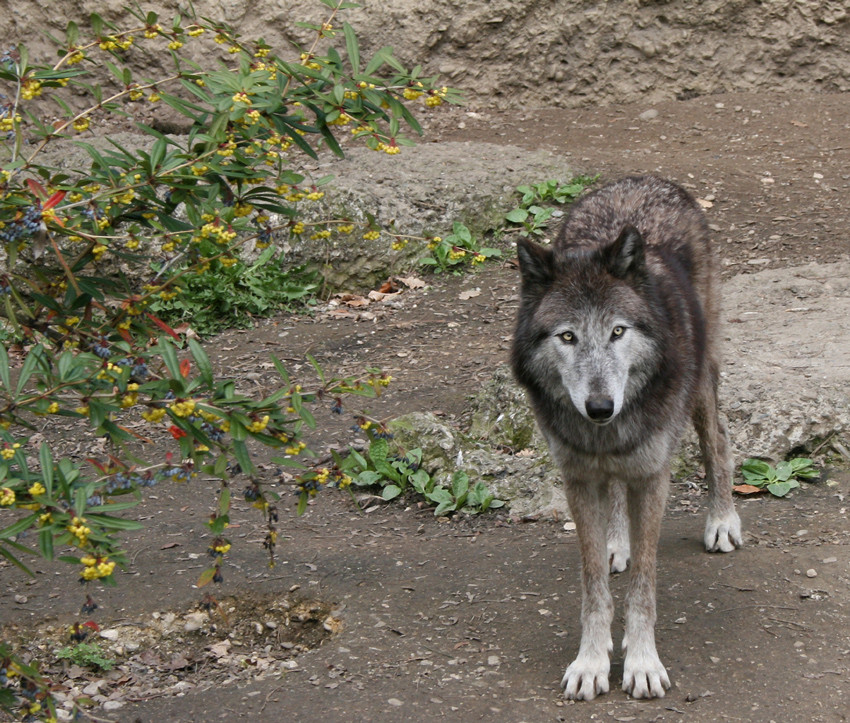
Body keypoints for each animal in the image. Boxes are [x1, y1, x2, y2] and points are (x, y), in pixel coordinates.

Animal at [510, 175, 744, 700]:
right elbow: (594, 586)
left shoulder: (654, 477)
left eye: (618, 331)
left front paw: (641, 663)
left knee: (718, 442)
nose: (600, 407)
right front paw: (591, 663)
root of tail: (641, 179)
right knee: (614, 492)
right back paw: (618, 541)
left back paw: (722, 520)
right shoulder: (577, 478)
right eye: (568, 337)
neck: (605, 430)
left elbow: (643, 587)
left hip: (701, 386)